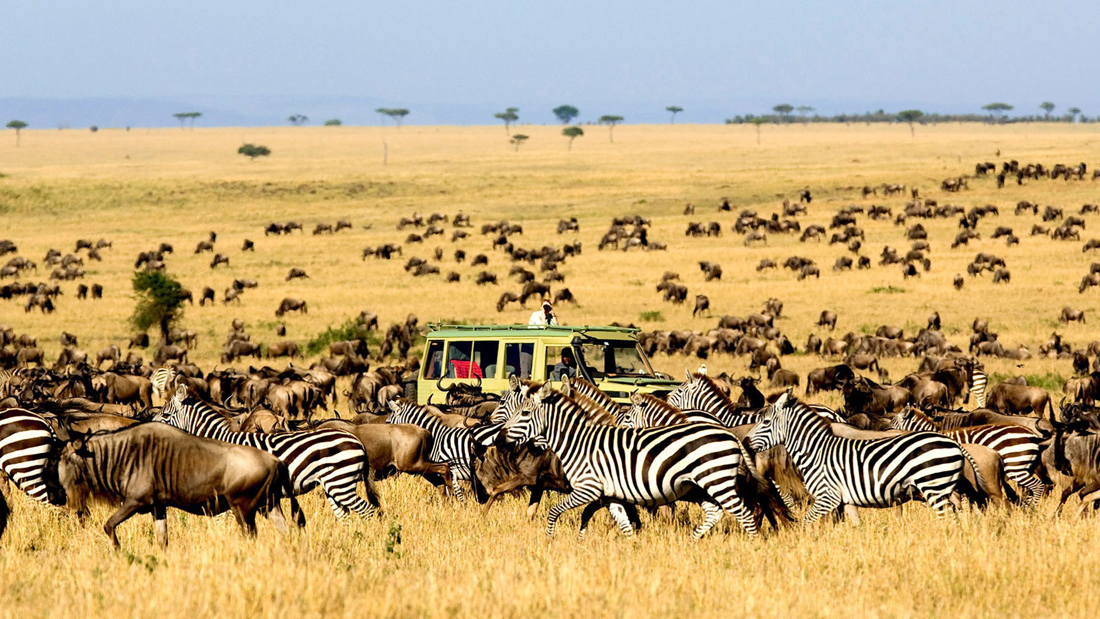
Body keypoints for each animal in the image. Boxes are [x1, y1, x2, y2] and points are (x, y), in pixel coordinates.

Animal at [152, 384, 380, 521]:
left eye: (165, 415)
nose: (149, 427)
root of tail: (357, 441)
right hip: (333, 485)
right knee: (345, 516)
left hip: (341, 482)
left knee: (369, 511)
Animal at [503, 384, 761, 540]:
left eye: (524, 413)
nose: (502, 436)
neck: (578, 442)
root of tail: (730, 434)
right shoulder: (610, 495)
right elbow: (623, 524)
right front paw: (631, 547)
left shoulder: (588, 488)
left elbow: (555, 511)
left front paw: (550, 539)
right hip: (700, 485)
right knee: (715, 512)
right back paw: (692, 541)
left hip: (716, 480)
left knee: (745, 514)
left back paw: (753, 547)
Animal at [748, 391, 972, 523]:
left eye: (765, 422)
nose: (747, 442)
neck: (816, 451)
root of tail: (954, 444)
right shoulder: (845, 499)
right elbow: (856, 525)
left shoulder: (827, 496)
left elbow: (807, 522)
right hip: (943, 488)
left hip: (934, 487)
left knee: (948, 517)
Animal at [888, 409, 1042, 505]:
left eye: (892, 423)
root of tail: (1032, 434)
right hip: (1025, 467)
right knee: (1031, 490)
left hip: (1015, 466)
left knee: (1037, 486)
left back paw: (1031, 509)